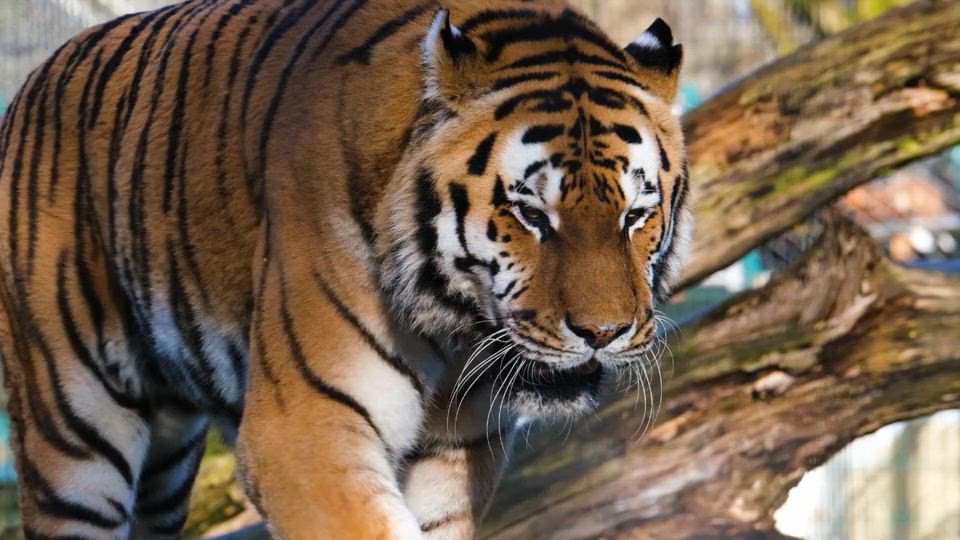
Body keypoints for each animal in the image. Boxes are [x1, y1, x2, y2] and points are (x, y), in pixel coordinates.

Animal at [0, 0, 691, 538]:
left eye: (635, 215)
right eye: (530, 214)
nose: (603, 334)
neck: (455, 327)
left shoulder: (454, 448)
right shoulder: (304, 428)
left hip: (168, 456)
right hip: (75, 436)